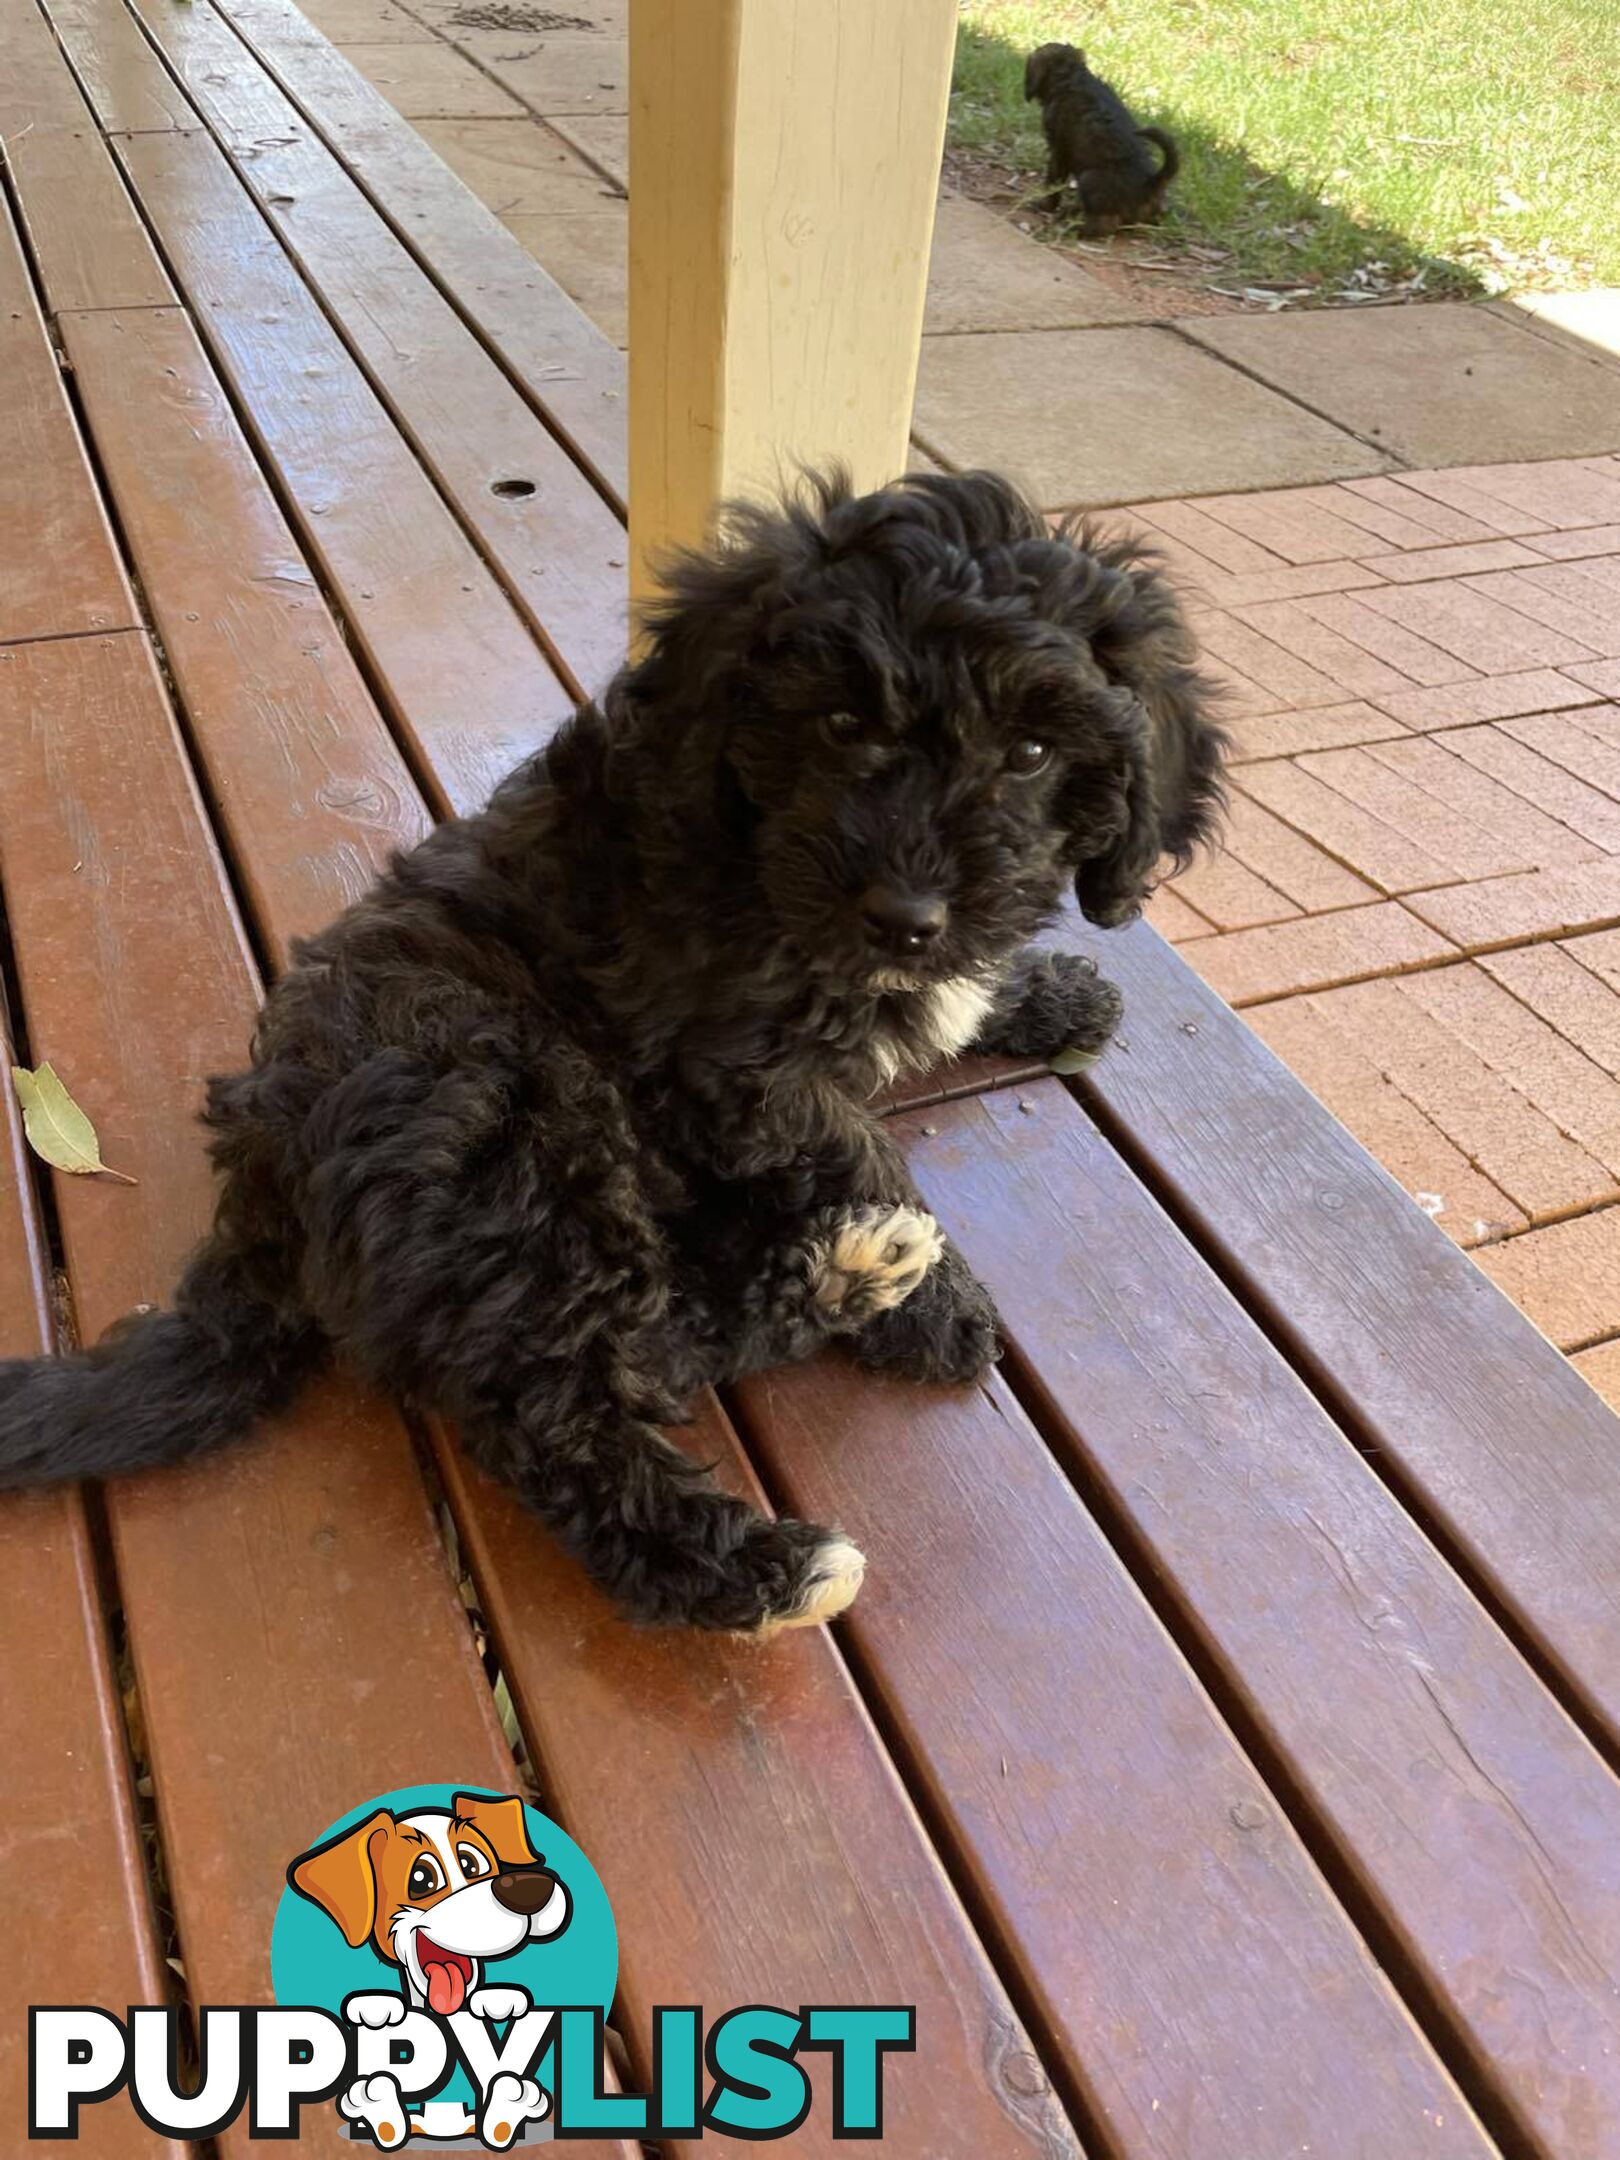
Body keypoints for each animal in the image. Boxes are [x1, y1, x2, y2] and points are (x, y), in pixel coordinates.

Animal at [1028, 39, 1183, 234]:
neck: (1072, 76)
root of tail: (1151, 184)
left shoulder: (1058, 151)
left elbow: (1053, 183)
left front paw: (1044, 205)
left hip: (1089, 178)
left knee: (1105, 225)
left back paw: (1075, 227)